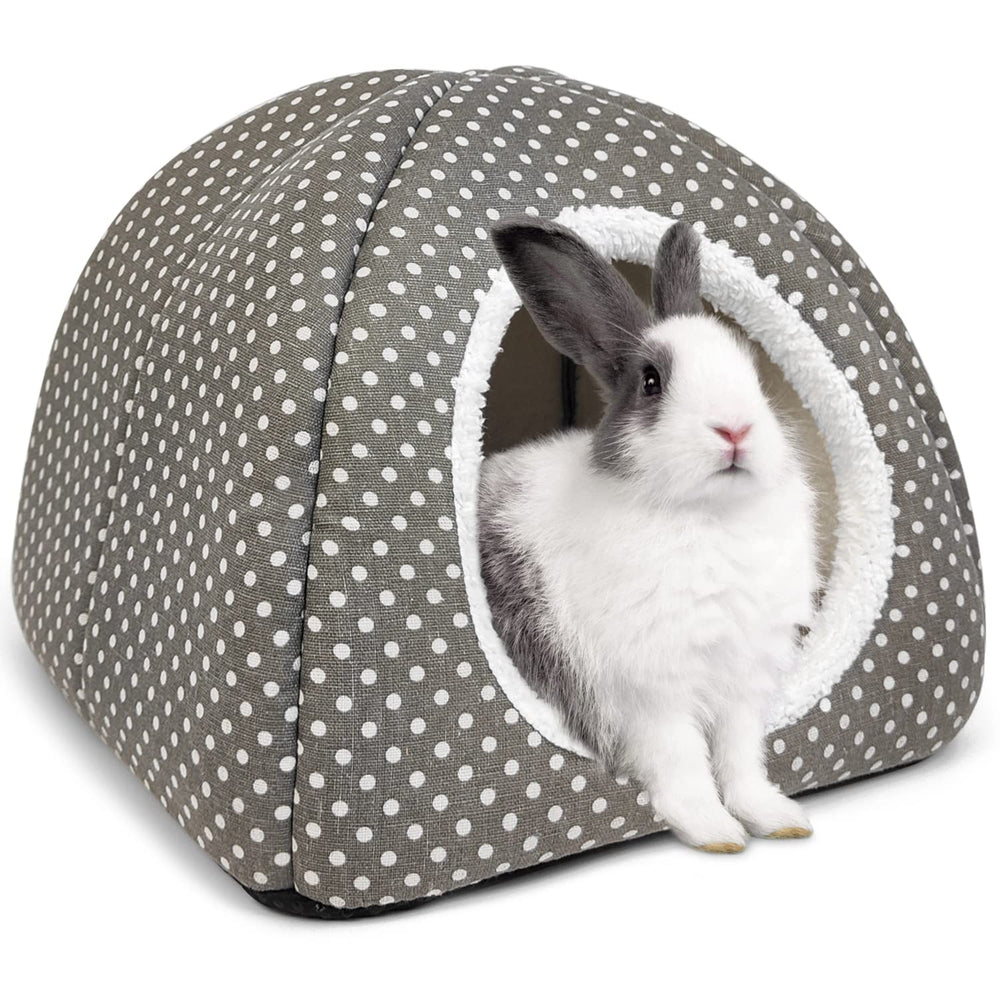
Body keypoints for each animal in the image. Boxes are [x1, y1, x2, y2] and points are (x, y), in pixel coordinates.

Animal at [479, 217, 819, 853]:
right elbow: (682, 761)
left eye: (752, 371)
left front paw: (779, 819)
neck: (709, 516)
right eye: (652, 381)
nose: (735, 429)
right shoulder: (651, 691)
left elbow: (741, 759)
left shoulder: (742, 683)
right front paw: (716, 832)